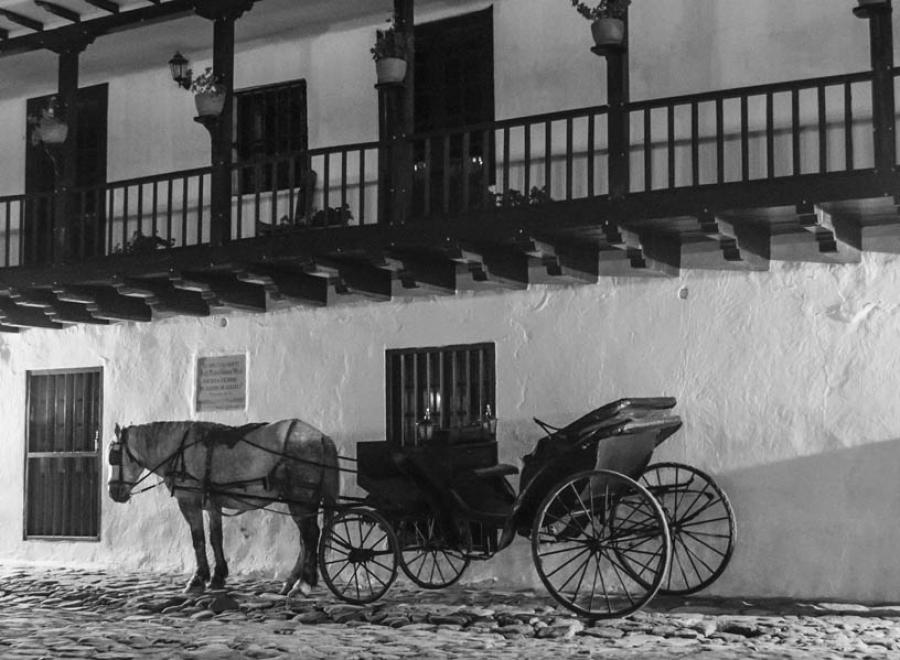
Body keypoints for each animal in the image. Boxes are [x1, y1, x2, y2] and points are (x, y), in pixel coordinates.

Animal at [107, 420, 340, 596]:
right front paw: (218, 577)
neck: (181, 449)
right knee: (306, 540)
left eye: (114, 457)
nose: (113, 493)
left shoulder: (189, 501)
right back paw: (292, 582)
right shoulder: (213, 504)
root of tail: (322, 437)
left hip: (300, 499)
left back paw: (304, 584)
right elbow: (215, 537)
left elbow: (198, 539)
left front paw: (198, 579)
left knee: (310, 536)